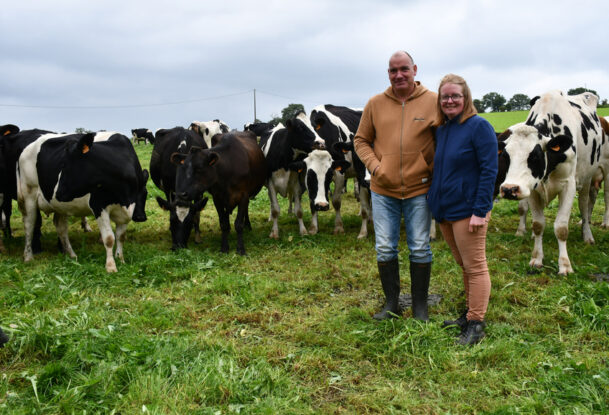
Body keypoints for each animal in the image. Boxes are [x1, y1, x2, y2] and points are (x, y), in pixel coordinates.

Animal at [16, 132, 150, 272]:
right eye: (62, 166)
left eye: (145, 193)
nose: (140, 217)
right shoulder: (99, 206)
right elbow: (109, 238)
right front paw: (111, 267)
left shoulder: (127, 209)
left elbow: (120, 236)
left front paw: (121, 259)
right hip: (29, 195)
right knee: (29, 225)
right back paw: (28, 257)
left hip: (60, 206)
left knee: (61, 227)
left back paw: (71, 255)